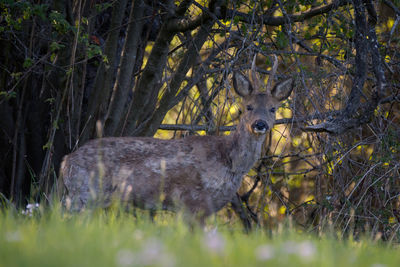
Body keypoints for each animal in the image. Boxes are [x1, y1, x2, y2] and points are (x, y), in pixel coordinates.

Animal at [57, 57, 292, 226]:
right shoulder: (193, 203)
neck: (229, 162)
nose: (260, 124)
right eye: (248, 107)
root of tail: (66, 161)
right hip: (84, 192)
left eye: (273, 108)